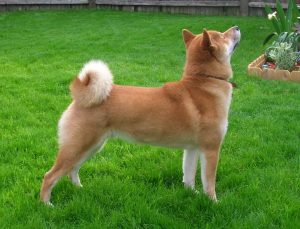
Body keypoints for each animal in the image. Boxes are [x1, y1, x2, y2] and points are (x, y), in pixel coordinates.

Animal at [40, 26, 241, 205]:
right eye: (222, 36)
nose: (237, 27)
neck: (205, 81)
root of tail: (80, 97)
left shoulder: (192, 149)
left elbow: (189, 176)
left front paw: (192, 195)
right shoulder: (211, 149)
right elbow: (209, 182)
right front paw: (214, 202)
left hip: (91, 147)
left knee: (72, 170)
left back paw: (79, 188)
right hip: (78, 147)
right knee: (49, 176)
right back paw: (46, 205)